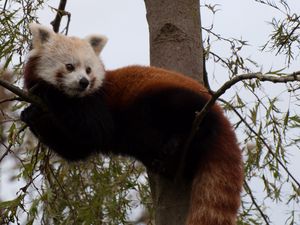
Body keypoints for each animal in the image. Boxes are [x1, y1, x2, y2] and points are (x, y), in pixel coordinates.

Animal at [21, 23, 243, 224]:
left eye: (89, 69)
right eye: (69, 66)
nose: (84, 82)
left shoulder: (98, 103)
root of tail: (218, 112)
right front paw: (30, 113)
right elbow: (75, 148)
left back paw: (179, 140)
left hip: (172, 101)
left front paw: (49, 92)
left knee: (190, 116)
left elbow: (95, 129)